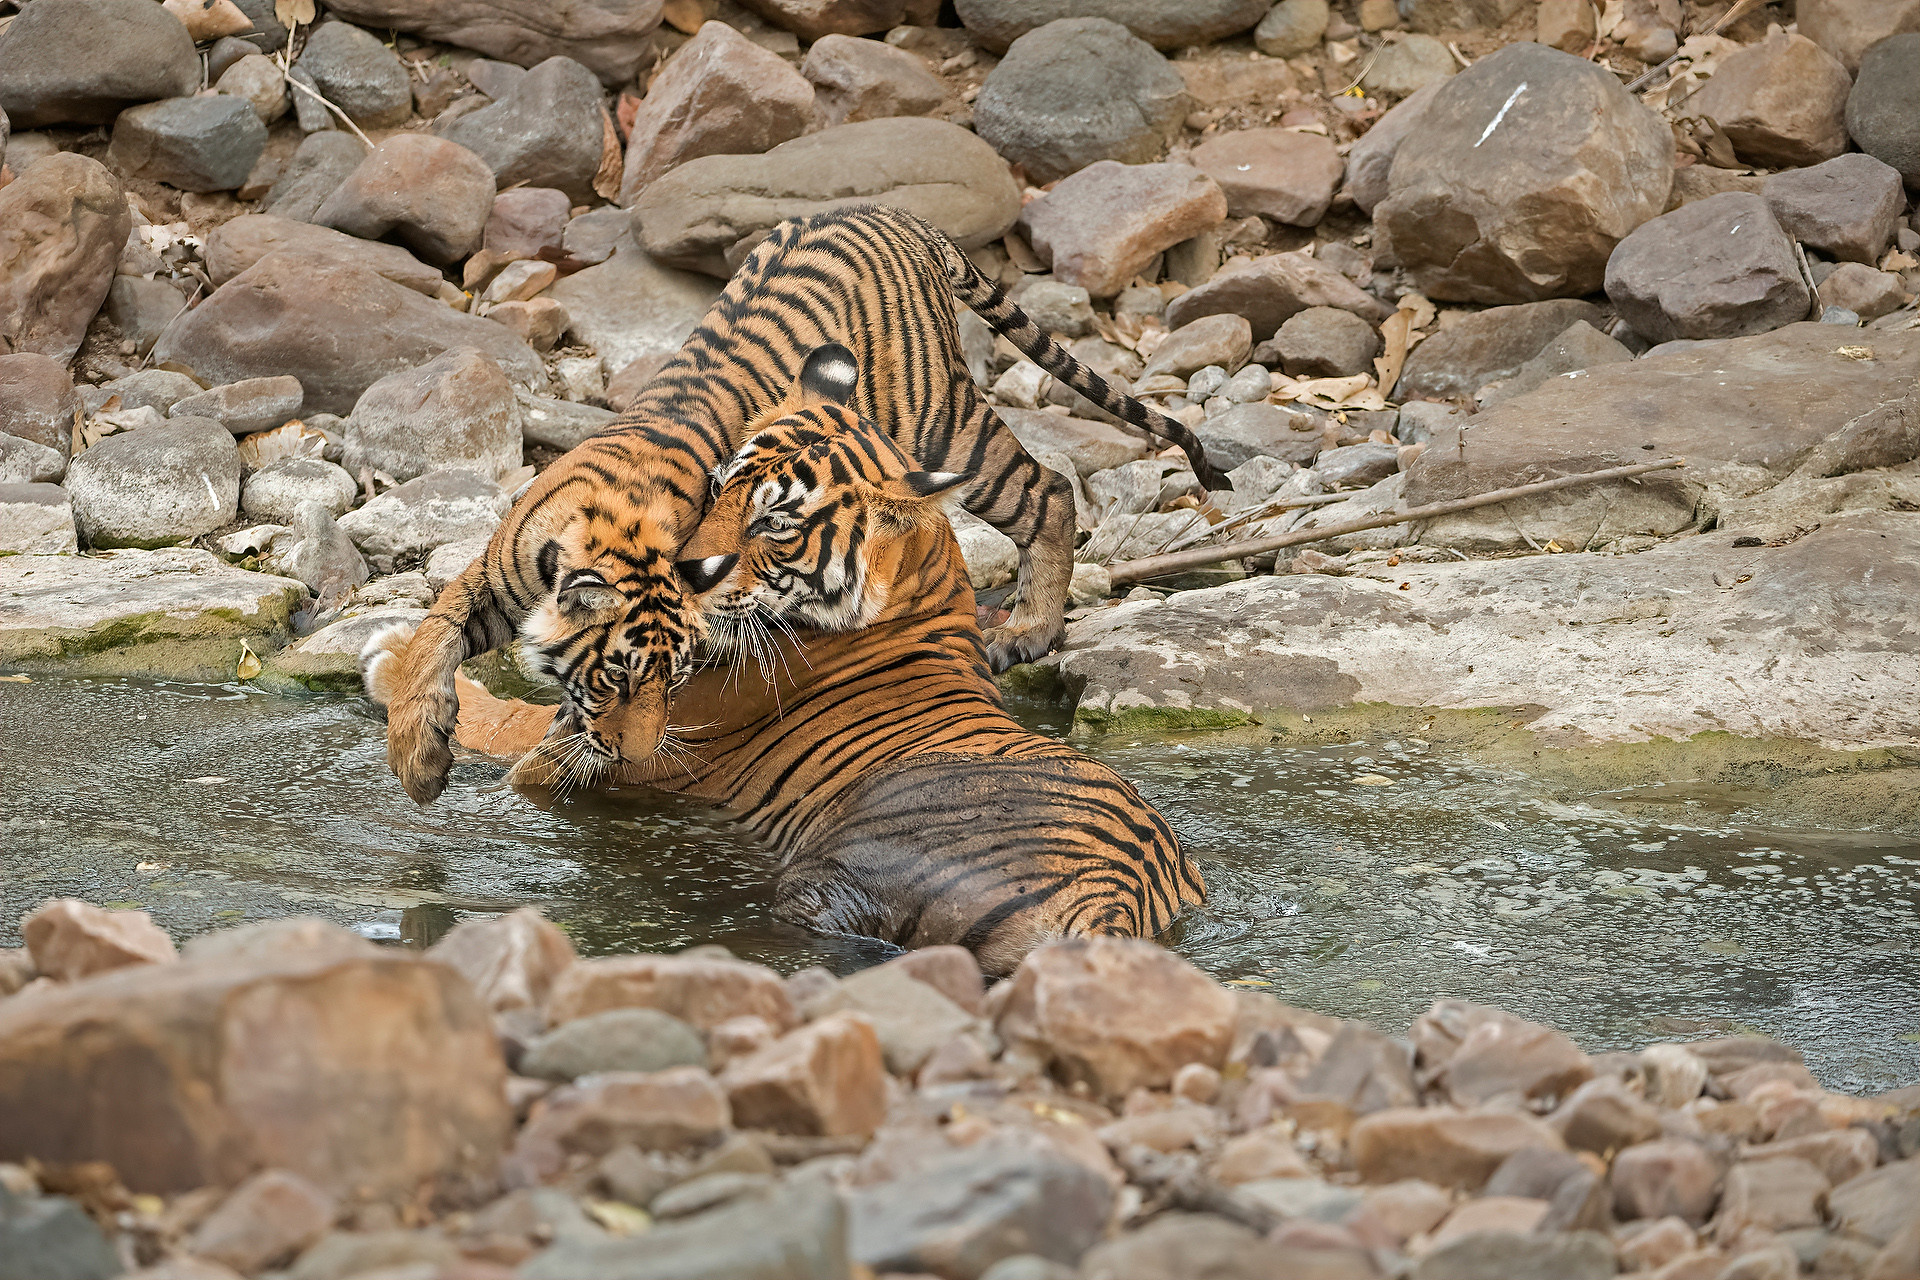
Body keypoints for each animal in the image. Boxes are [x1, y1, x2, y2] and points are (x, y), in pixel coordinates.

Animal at [365, 347, 1208, 973]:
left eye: (775, 522)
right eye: (717, 485)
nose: (686, 567)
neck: (923, 585)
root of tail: (1115, 902)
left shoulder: (629, 742)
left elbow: (515, 721)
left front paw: (387, 669)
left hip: (831, 870)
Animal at [368, 204, 1224, 804]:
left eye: (673, 679)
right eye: (616, 677)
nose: (636, 751)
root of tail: (899, 216)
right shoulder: (497, 572)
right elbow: (434, 634)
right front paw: (419, 759)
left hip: (947, 430)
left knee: (1048, 490)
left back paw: (1028, 629)